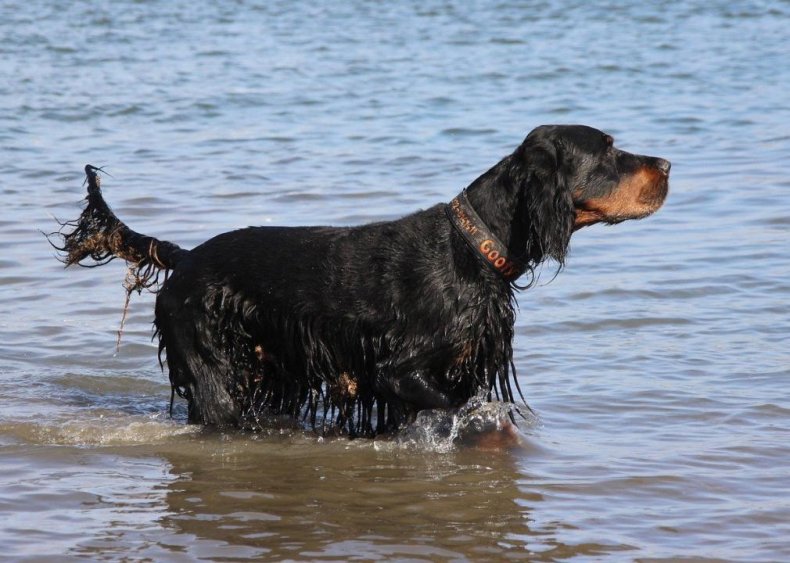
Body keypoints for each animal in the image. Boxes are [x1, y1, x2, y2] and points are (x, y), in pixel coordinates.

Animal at [52, 126, 672, 436]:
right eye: (609, 150)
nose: (667, 165)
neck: (474, 246)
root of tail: (184, 260)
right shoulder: (396, 369)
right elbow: (463, 407)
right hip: (216, 372)